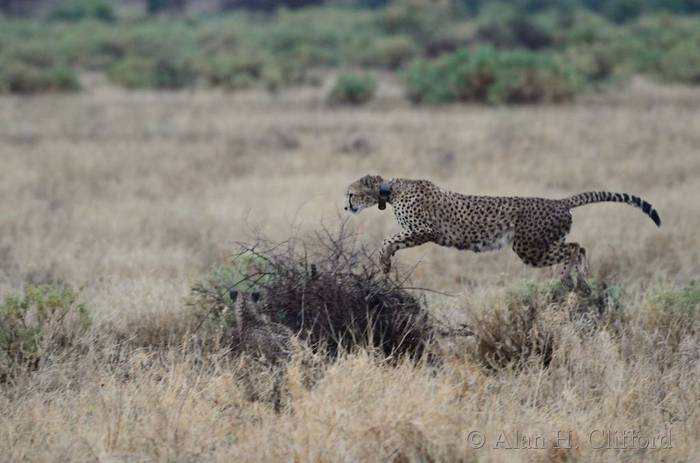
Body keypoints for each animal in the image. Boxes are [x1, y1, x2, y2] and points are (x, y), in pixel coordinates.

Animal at [344, 174, 661, 293]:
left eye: (351, 193)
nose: (346, 206)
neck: (390, 189)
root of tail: (559, 201)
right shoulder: (417, 232)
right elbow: (392, 243)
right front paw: (385, 265)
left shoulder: (424, 230)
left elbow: (388, 240)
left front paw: (383, 260)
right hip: (541, 244)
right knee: (578, 246)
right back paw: (580, 280)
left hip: (528, 247)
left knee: (574, 248)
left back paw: (566, 280)